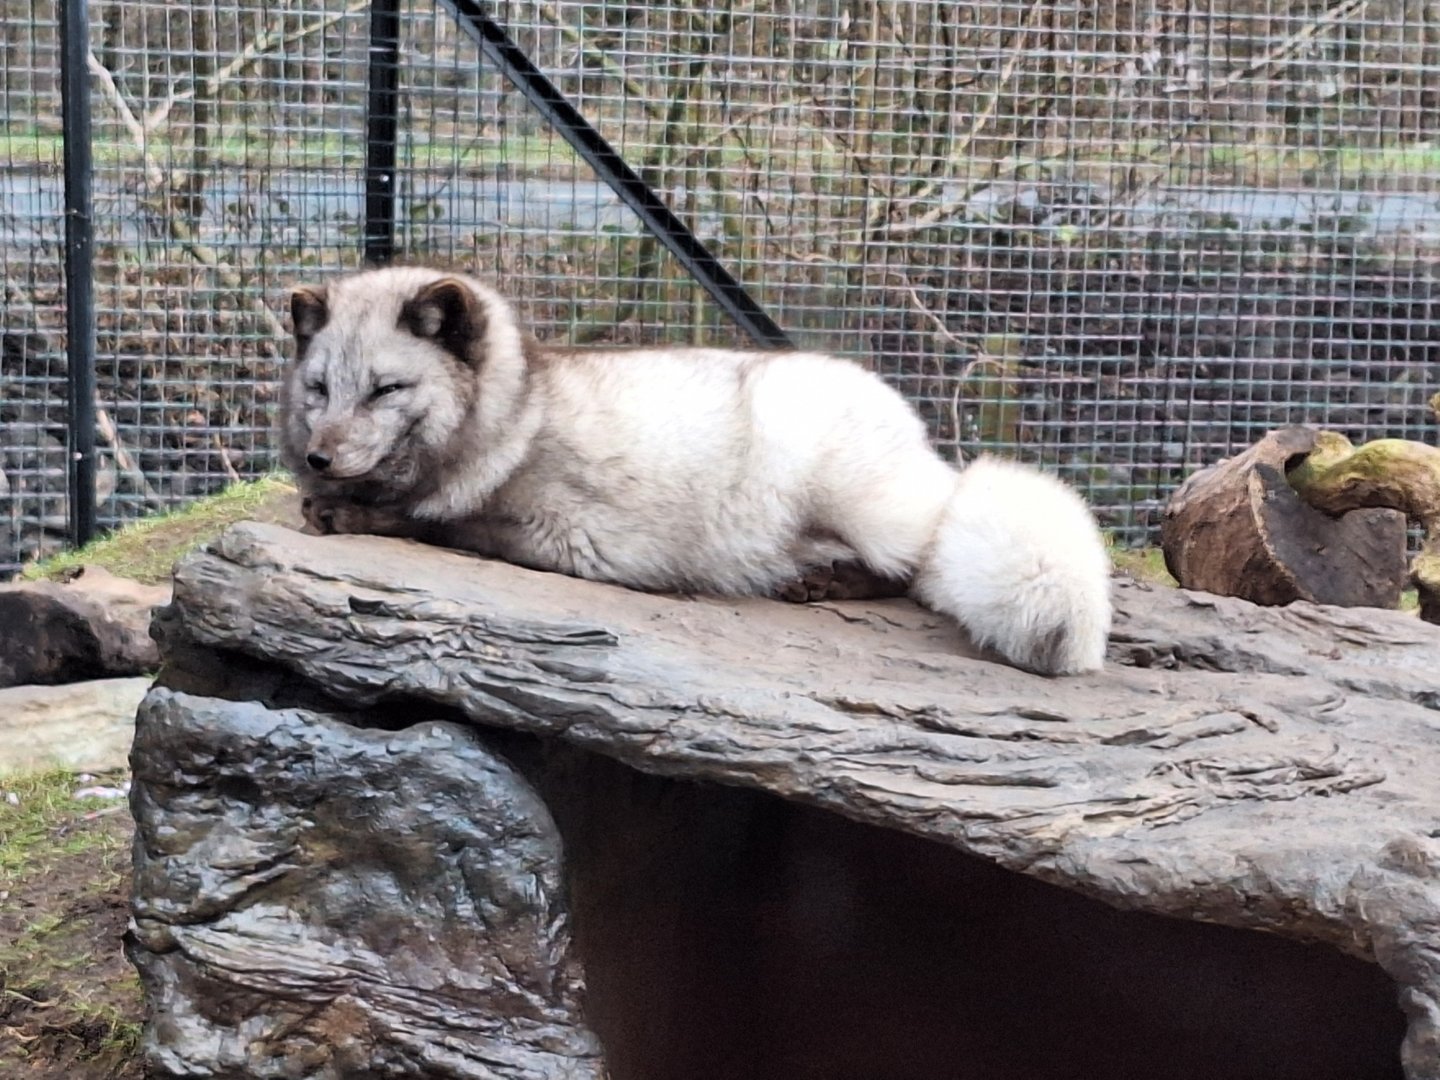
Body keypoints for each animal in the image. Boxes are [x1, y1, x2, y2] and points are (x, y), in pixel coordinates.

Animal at [280, 266, 1113, 676]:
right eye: (318, 389)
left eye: (387, 389)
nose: (319, 455)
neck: (520, 412)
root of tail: (940, 463)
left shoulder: (563, 533)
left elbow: (439, 523)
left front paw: (351, 513)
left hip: (845, 488)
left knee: (913, 568)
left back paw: (826, 581)